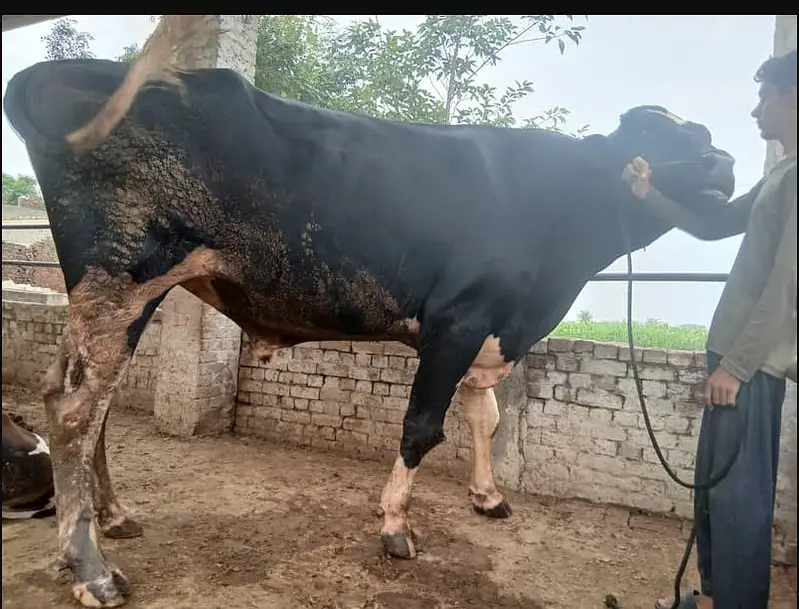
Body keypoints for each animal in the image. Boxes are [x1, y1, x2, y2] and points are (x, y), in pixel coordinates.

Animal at [3, 16, 736, 608]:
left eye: (703, 134)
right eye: (657, 137)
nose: (726, 164)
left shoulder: (492, 328)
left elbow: (485, 416)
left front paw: (487, 494)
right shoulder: (457, 320)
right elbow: (421, 427)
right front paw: (395, 528)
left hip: (122, 295)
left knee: (83, 397)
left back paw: (115, 515)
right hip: (123, 275)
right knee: (73, 409)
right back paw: (93, 570)